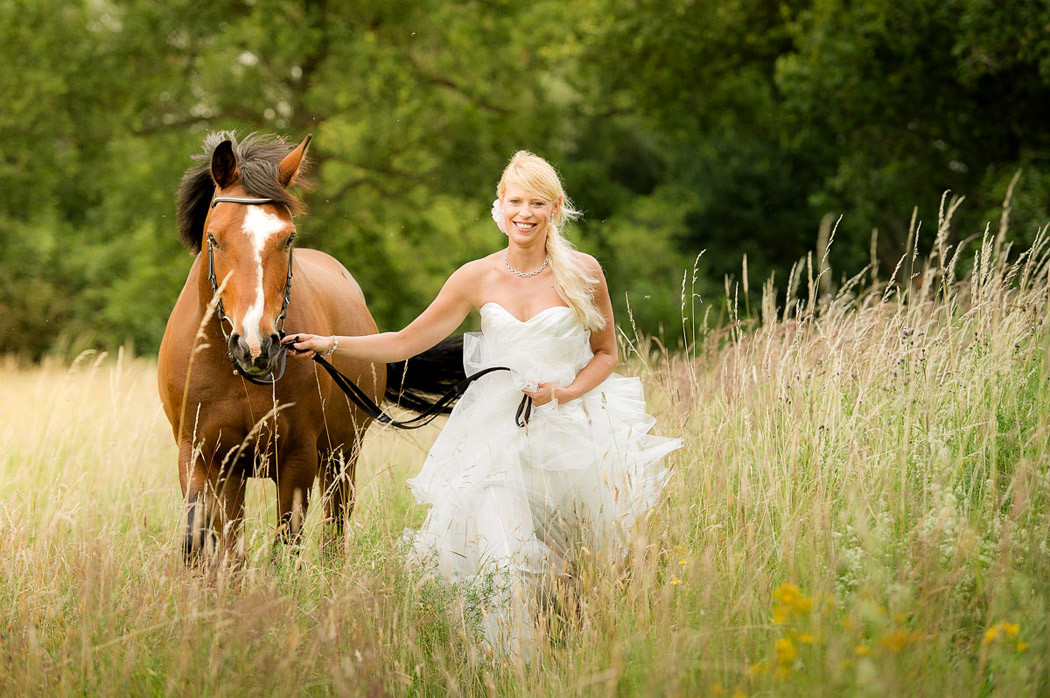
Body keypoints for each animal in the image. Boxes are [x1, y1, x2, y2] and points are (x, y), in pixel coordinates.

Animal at [157, 133, 384, 562]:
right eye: (214, 238)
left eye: (288, 237)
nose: (255, 346)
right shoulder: (199, 456)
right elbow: (203, 542)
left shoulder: (297, 460)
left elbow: (285, 546)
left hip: (342, 455)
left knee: (334, 529)